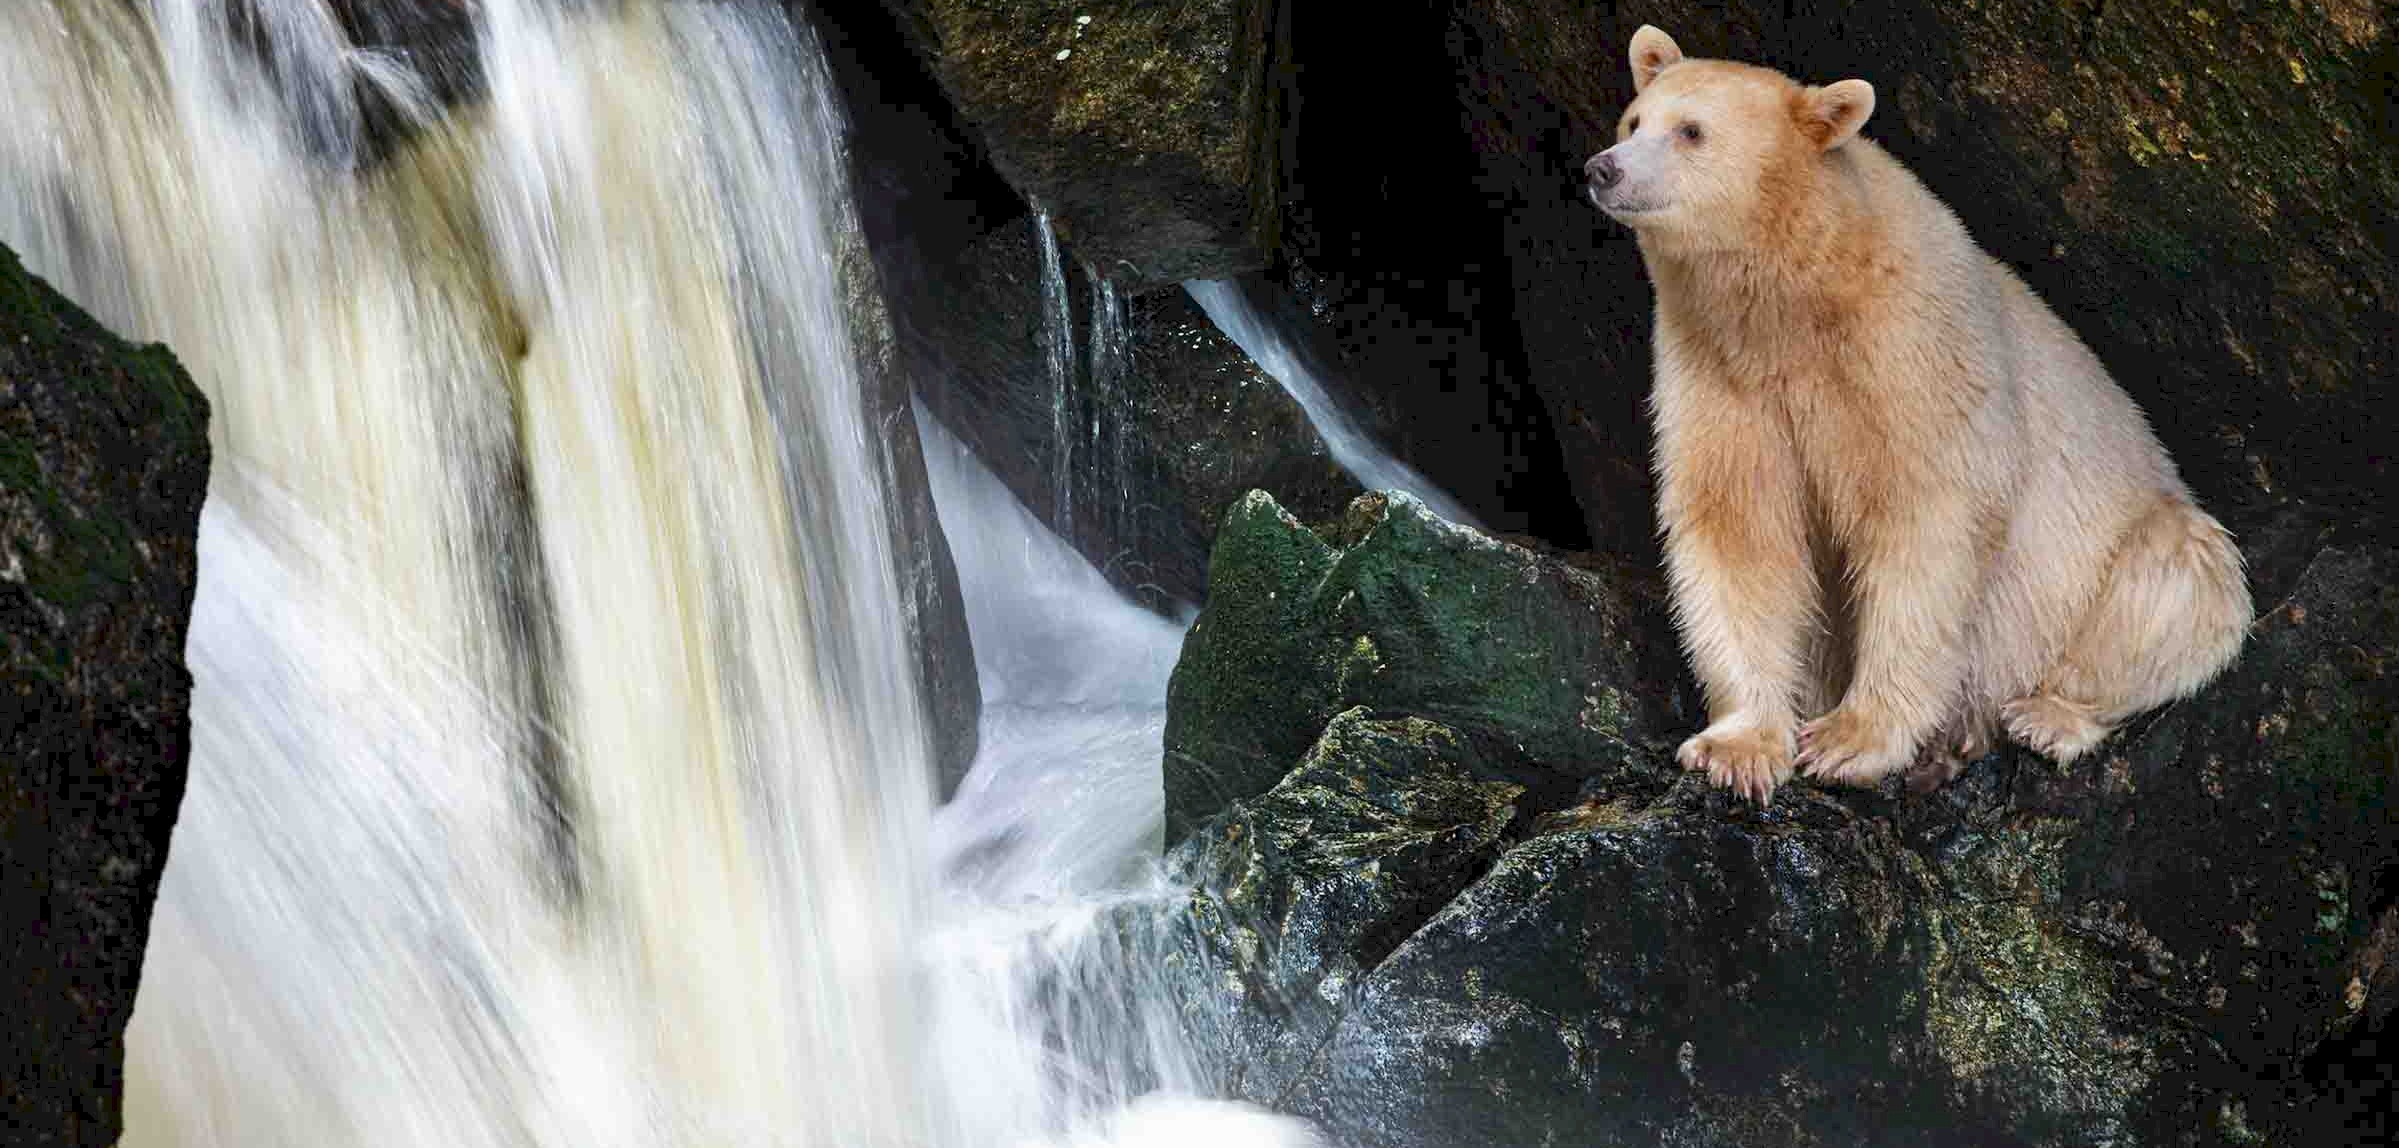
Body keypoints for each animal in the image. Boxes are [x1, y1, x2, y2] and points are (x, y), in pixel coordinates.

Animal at [1583, 25, 2252, 804]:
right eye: (1634, 120)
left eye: (1691, 131)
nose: (1603, 169)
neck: (1798, 294)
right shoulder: (1719, 369)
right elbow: (1738, 528)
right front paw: (1737, 747)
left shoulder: (1910, 351)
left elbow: (1926, 522)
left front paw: (1850, 740)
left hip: (2122, 559)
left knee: (2177, 581)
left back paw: (2044, 718)